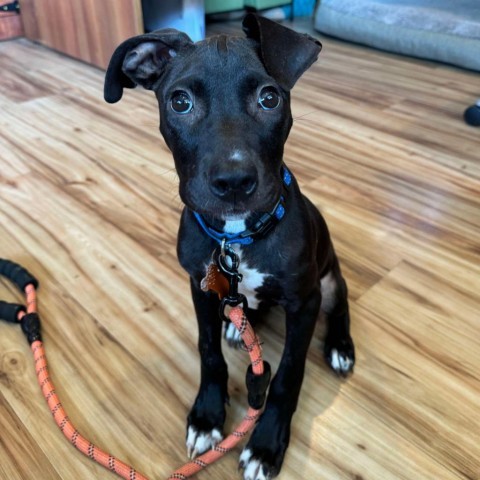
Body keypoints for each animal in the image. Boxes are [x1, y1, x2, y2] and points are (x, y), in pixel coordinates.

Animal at [104, 14, 352, 480]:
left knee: (341, 302)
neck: (235, 239)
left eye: (269, 97)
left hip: (327, 281)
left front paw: (266, 443)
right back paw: (239, 326)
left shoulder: (304, 300)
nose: (233, 181)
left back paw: (340, 347)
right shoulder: (199, 287)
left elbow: (288, 373)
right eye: (179, 102)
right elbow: (208, 352)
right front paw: (206, 416)